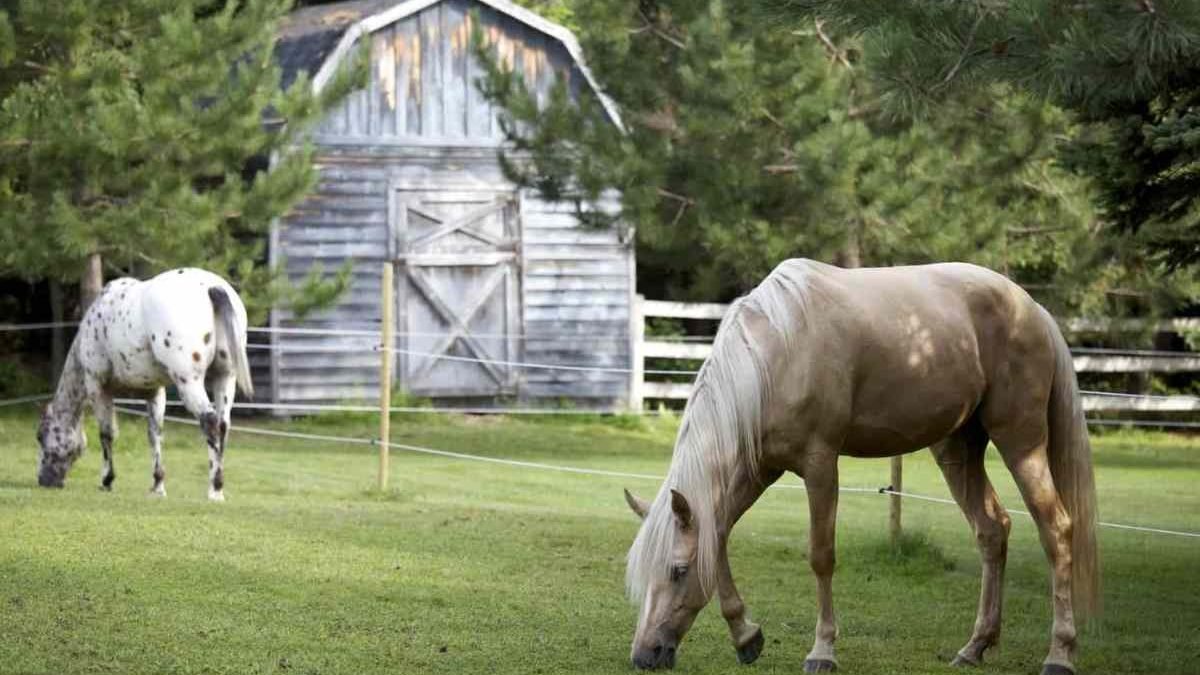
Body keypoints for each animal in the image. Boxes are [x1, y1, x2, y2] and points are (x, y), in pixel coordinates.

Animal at [36, 268, 253, 501]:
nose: (44, 480)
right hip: (225, 378)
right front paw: (158, 486)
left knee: (210, 422)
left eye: (41, 436)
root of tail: (213, 287)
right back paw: (218, 488)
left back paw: (214, 490)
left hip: (189, 381)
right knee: (223, 425)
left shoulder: (97, 387)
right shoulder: (155, 393)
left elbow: (106, 433)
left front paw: (107, 481)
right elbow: (154, 435)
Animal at [623, 259, 1099, 675]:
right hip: (958, 450)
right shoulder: (759, 471)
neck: (777, 352)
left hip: (1022, 443)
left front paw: (822, 651)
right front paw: (746, 637)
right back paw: (974, 647)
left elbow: (821, 556)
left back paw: (1059, 655)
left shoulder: (819, 465)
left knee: (1057, 530)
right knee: (992, 530)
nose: (645, 655)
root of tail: (1032, 309)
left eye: (677, 571)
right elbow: (718, 538)